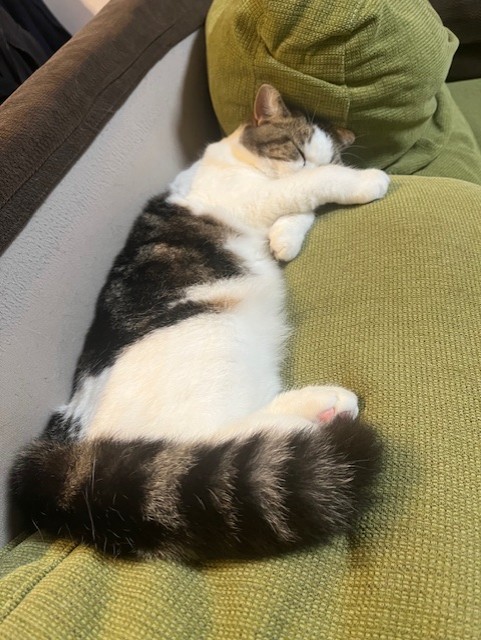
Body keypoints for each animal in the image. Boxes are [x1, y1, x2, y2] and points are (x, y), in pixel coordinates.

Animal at [11, 84, 389, 561]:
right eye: (297, 151)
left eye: (328, 156)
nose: (318, 163)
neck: (234, 158)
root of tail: (71, 453)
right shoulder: (259, 194)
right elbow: (307, 187)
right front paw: (365, 180)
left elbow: (300, 206)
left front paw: (284, 240)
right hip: (214, 343)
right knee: (212, 442)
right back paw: (319, 413)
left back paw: (320, 407)